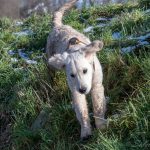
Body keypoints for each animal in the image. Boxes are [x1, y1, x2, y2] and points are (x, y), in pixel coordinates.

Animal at [46, 0, 106, 141]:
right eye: (72, 75)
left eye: (85, 71)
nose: (83, 89)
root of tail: (58, 26)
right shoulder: (75, 90)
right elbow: (81, 110)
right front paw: (85, 131)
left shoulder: (96, 84)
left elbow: (98, 106)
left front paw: (101, 126)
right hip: (51, 60)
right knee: (50, 69)